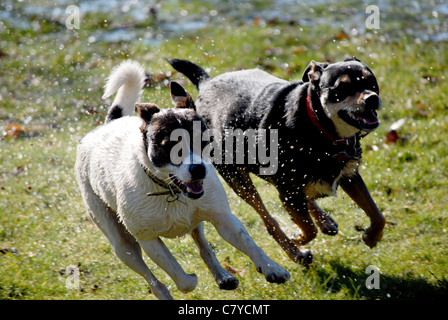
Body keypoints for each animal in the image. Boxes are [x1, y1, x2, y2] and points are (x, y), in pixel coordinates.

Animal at [74, 60, 290, 300]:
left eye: (204, 140)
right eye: (170, 147)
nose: (199, 169)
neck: (171, 191)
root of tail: (106, 125)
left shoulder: (223, 218)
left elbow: (248, 243)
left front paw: (271, 268)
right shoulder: (148, 240)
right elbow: (180, 277)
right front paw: (190, 280)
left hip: (198, 221)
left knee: (203, 245)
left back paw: (223, 276)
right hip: (121, 243)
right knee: (152, 279)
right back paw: (164, 293)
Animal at [168, 57, 384, 264]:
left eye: (372, 82)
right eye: (342, 88)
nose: (372, 99)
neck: (318, 127)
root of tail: (206, 83)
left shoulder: (349, 175)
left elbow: (376, 213)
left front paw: (372, 237)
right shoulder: (288, 190)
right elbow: (308, 228)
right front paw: (297, 238)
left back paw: (324, 220)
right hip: (239, 179)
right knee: (268, 220)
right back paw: (295, 251)